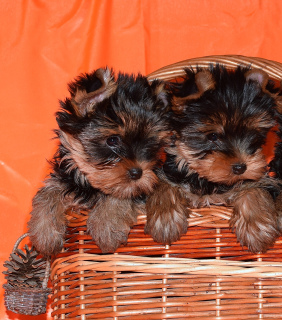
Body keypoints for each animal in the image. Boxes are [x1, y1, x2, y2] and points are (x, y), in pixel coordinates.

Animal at [27, 67, 171, 255]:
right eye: (112, 140)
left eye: (151, 143)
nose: (137, 173)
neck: (91, 186)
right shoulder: (67, 177)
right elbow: (48, 191)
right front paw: (45, 234)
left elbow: (122, 193)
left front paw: (106, 224)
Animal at [145, 64, 282, 252]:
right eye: (212, 136)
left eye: (253, 135)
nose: (240, 167)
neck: (208, 182)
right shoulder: (169, 173)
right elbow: (162, 185)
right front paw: (165, 218)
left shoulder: (263, 179)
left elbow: (254, 188)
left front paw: (257, 227)